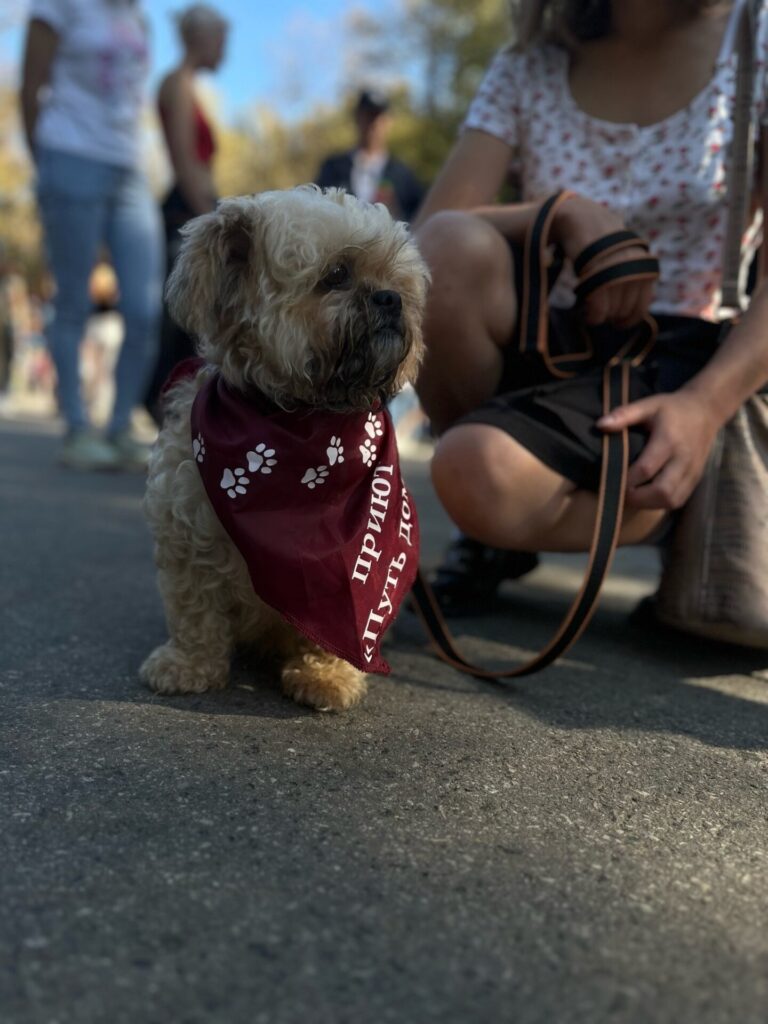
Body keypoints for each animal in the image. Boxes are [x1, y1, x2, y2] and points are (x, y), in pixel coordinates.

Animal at [138, 184, 428, 708]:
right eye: (337, 274)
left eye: (395, 276)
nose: (392, 298)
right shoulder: (185, 531)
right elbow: (194, 609)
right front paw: (188, 664)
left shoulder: (338, 578)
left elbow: (335, 629)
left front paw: (326, 676)